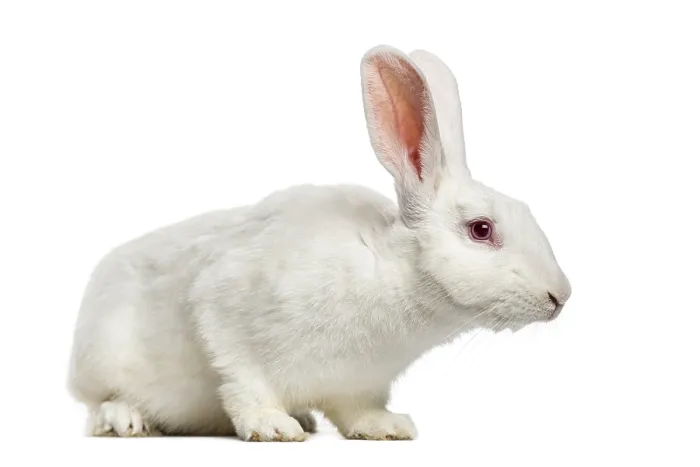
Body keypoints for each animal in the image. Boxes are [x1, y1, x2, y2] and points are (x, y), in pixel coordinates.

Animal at [67, 44, 571, 442]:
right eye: (481, 229)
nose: (561, 296)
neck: (392, 273)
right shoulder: (222, 310)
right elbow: (242, 380)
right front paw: (272, 427)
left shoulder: (358, 384)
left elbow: (358, 410)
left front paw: (388, 427)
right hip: (103, 357)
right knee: (97, 403)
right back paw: (128, 419)